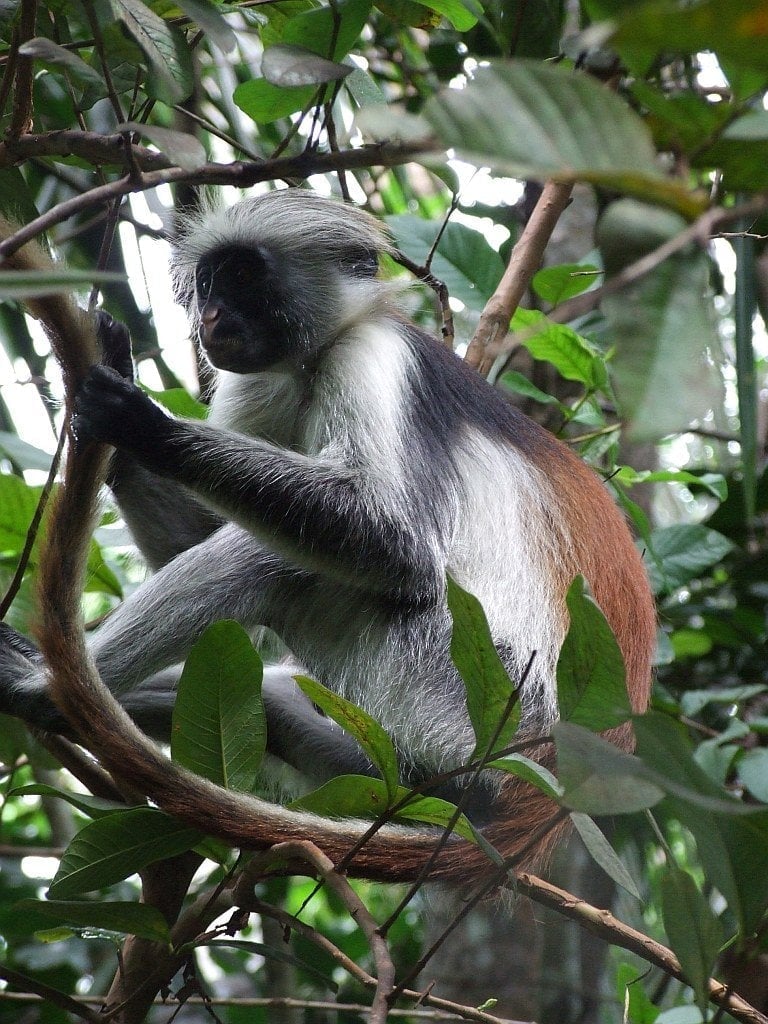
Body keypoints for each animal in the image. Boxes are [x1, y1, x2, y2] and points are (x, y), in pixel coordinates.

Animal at [0, 190, 655, 883]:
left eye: (243, 277)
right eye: (208, 282)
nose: (210, 314)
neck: (311, 364)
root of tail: (553, 790)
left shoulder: (372, 356)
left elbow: (396, 543)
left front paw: (141, 424)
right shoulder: (260, 382)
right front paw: (114, 385)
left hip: (473, 698)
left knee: (267, 558)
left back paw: (43, 690)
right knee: (279, 689)